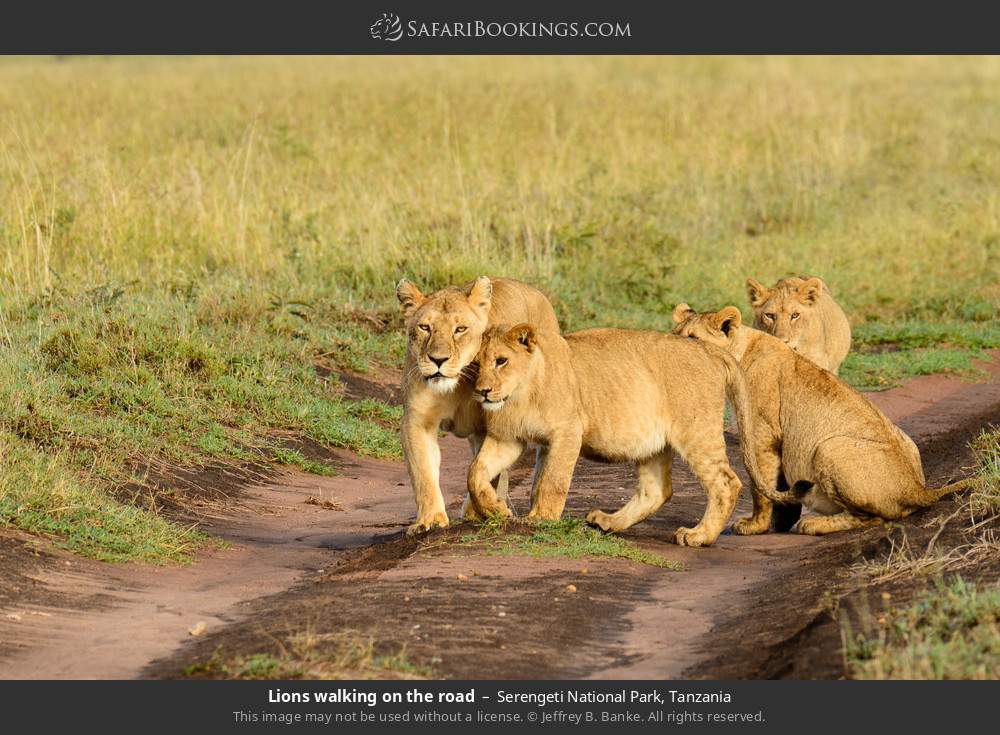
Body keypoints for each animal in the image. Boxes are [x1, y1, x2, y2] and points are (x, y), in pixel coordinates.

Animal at [396, 276, 560, 535]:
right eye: (425, 328)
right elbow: (423, 473)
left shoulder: (489, 425)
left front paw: (483, 511)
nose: (438, 360)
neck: (457, 383)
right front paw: (430, 520)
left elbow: (477, 471)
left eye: (460, 329)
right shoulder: (417, 421)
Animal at [465, 323, 766, 547]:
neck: (520, 395)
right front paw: (494, 509)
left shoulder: (568, 432)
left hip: (697, 432)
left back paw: (699, 536)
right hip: (652, 444)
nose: (482, 391)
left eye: (501, 361)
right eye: (476, 365)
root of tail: (710, 349)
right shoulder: (507, 438)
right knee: (656, 491)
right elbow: (475, 473)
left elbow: (552, 482)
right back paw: (608, 522)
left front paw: (541, 519)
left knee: (726, 483)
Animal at [671, 304, 966, 535]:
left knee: (871, 517)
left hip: (828, 447)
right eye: (675, 337)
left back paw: (815, 525)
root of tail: (917, 488)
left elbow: (760, 485)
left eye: (693, 338)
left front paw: (755, 526)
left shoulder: (762, 434)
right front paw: (780, 522)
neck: (741, 351)